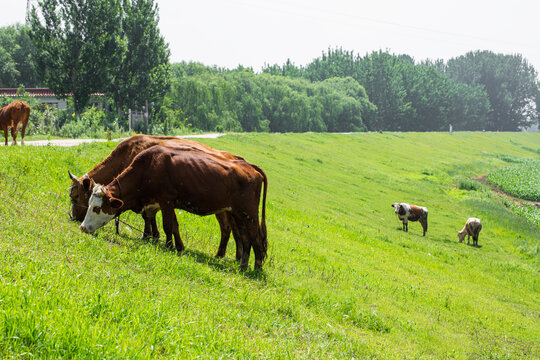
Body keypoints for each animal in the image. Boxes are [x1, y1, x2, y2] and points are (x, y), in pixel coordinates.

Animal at [69, 134, 245, 260]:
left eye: (76, 196)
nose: (74, 218)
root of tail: (234, 157)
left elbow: (152, 218)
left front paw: (150, 237)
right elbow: (153, 217)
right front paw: (152, 237)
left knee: (228, 228)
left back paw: (225, 255)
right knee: (234, 229)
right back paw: (233, 256)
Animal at [81, 145, 268, 272]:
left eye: (96, 208)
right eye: (88, 203)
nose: (82, 227)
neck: (148, 167)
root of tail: (249, 167)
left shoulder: (166, 200)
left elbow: (168, 225)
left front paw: (169, 246)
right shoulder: (163, 203)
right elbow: (174, 226)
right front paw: (179, 246)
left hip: (249, 214)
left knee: (255, 237)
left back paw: (256, 268)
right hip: (238, 214)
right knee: (245, 238)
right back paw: (243, 265)